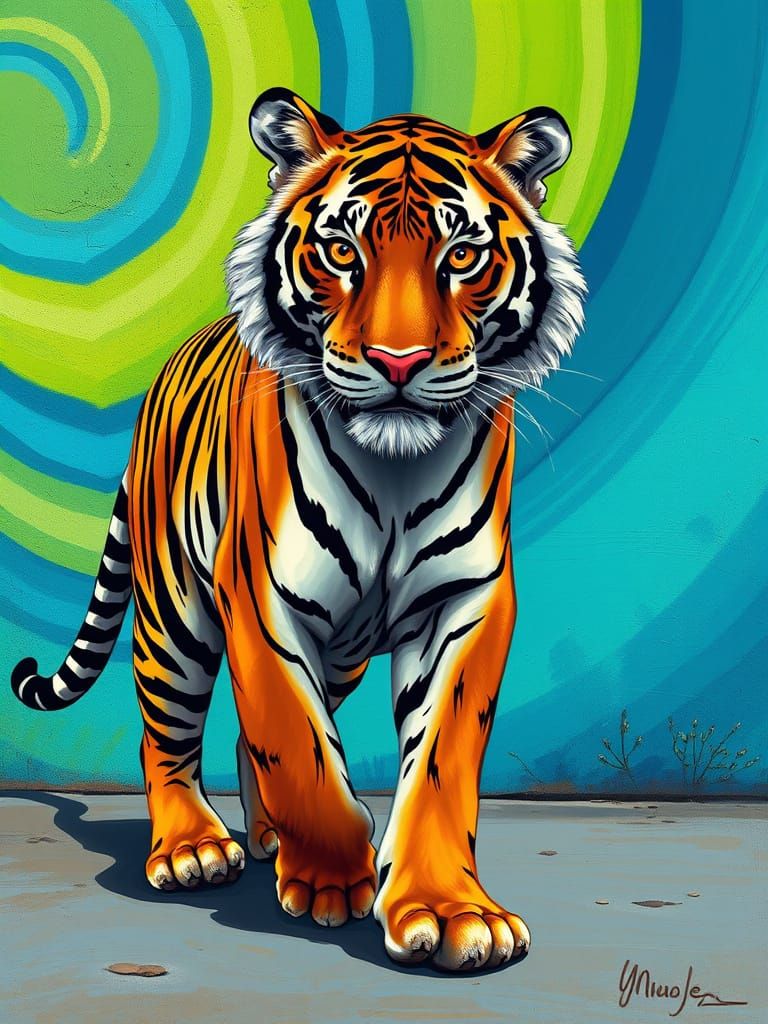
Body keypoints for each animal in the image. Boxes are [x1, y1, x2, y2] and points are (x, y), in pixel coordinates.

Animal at [11, 87, 585, 972]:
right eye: (341, 250)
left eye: (461, 257)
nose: (397, 362)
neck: (393, 475)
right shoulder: (262, 598)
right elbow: (297, 742)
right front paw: (328, 881)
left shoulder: (466, 604)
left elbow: (440, 762)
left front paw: (451, 912)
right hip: (175, 613)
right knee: (167, 732)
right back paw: (193, 847)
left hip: (338, 648)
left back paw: (270, 840)